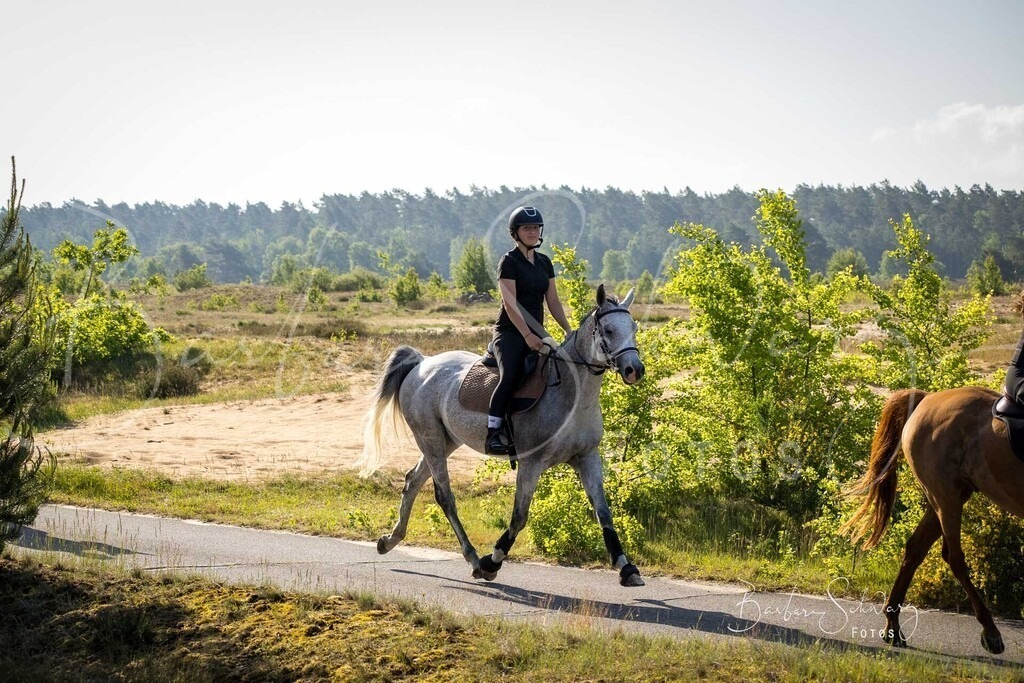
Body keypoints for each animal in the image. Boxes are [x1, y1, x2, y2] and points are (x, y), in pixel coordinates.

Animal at [358, 284, 647, 586]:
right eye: (609, 330)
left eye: (634, 327)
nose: (634, 370)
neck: (573, 394)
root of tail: (422, 363)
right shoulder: (531, 464)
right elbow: (519, 517)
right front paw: (492, 561)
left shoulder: (587, 457)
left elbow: (604, 513)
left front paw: (627, 568)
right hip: (430, 438)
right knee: (445, 496)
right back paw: (474, 559)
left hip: (446, 441)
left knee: (412, 481)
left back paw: (389, 541)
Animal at [843, 386, 1024, 655]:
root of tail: (927, 398)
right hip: (945, 495)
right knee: (953, 557)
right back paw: (991, 633)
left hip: (947, 495)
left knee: (915, 548)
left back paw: (893, 625)